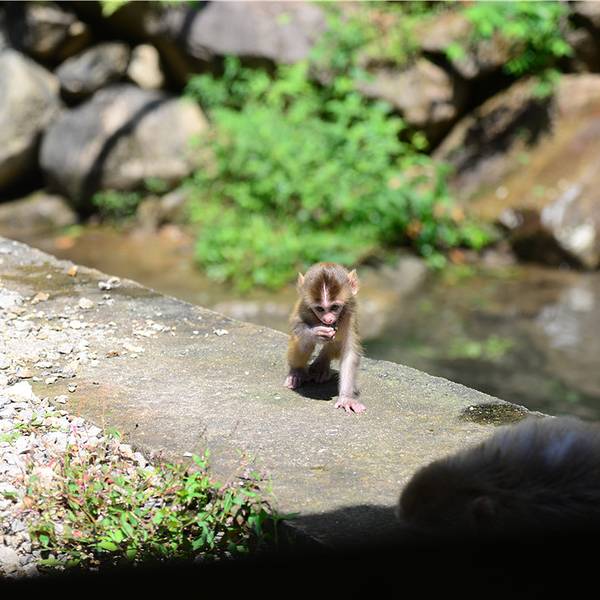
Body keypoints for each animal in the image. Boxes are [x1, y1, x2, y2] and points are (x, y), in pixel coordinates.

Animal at [284, 262, 365, 414]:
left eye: (334, 307)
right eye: (320, 309)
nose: (328, 319)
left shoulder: (350, 313)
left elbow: (349, 353)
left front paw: (346, 398)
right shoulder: (304, 307)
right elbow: (297, 328)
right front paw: (316, 333)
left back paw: (321, 364)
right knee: (305, 343)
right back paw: (297, 372)